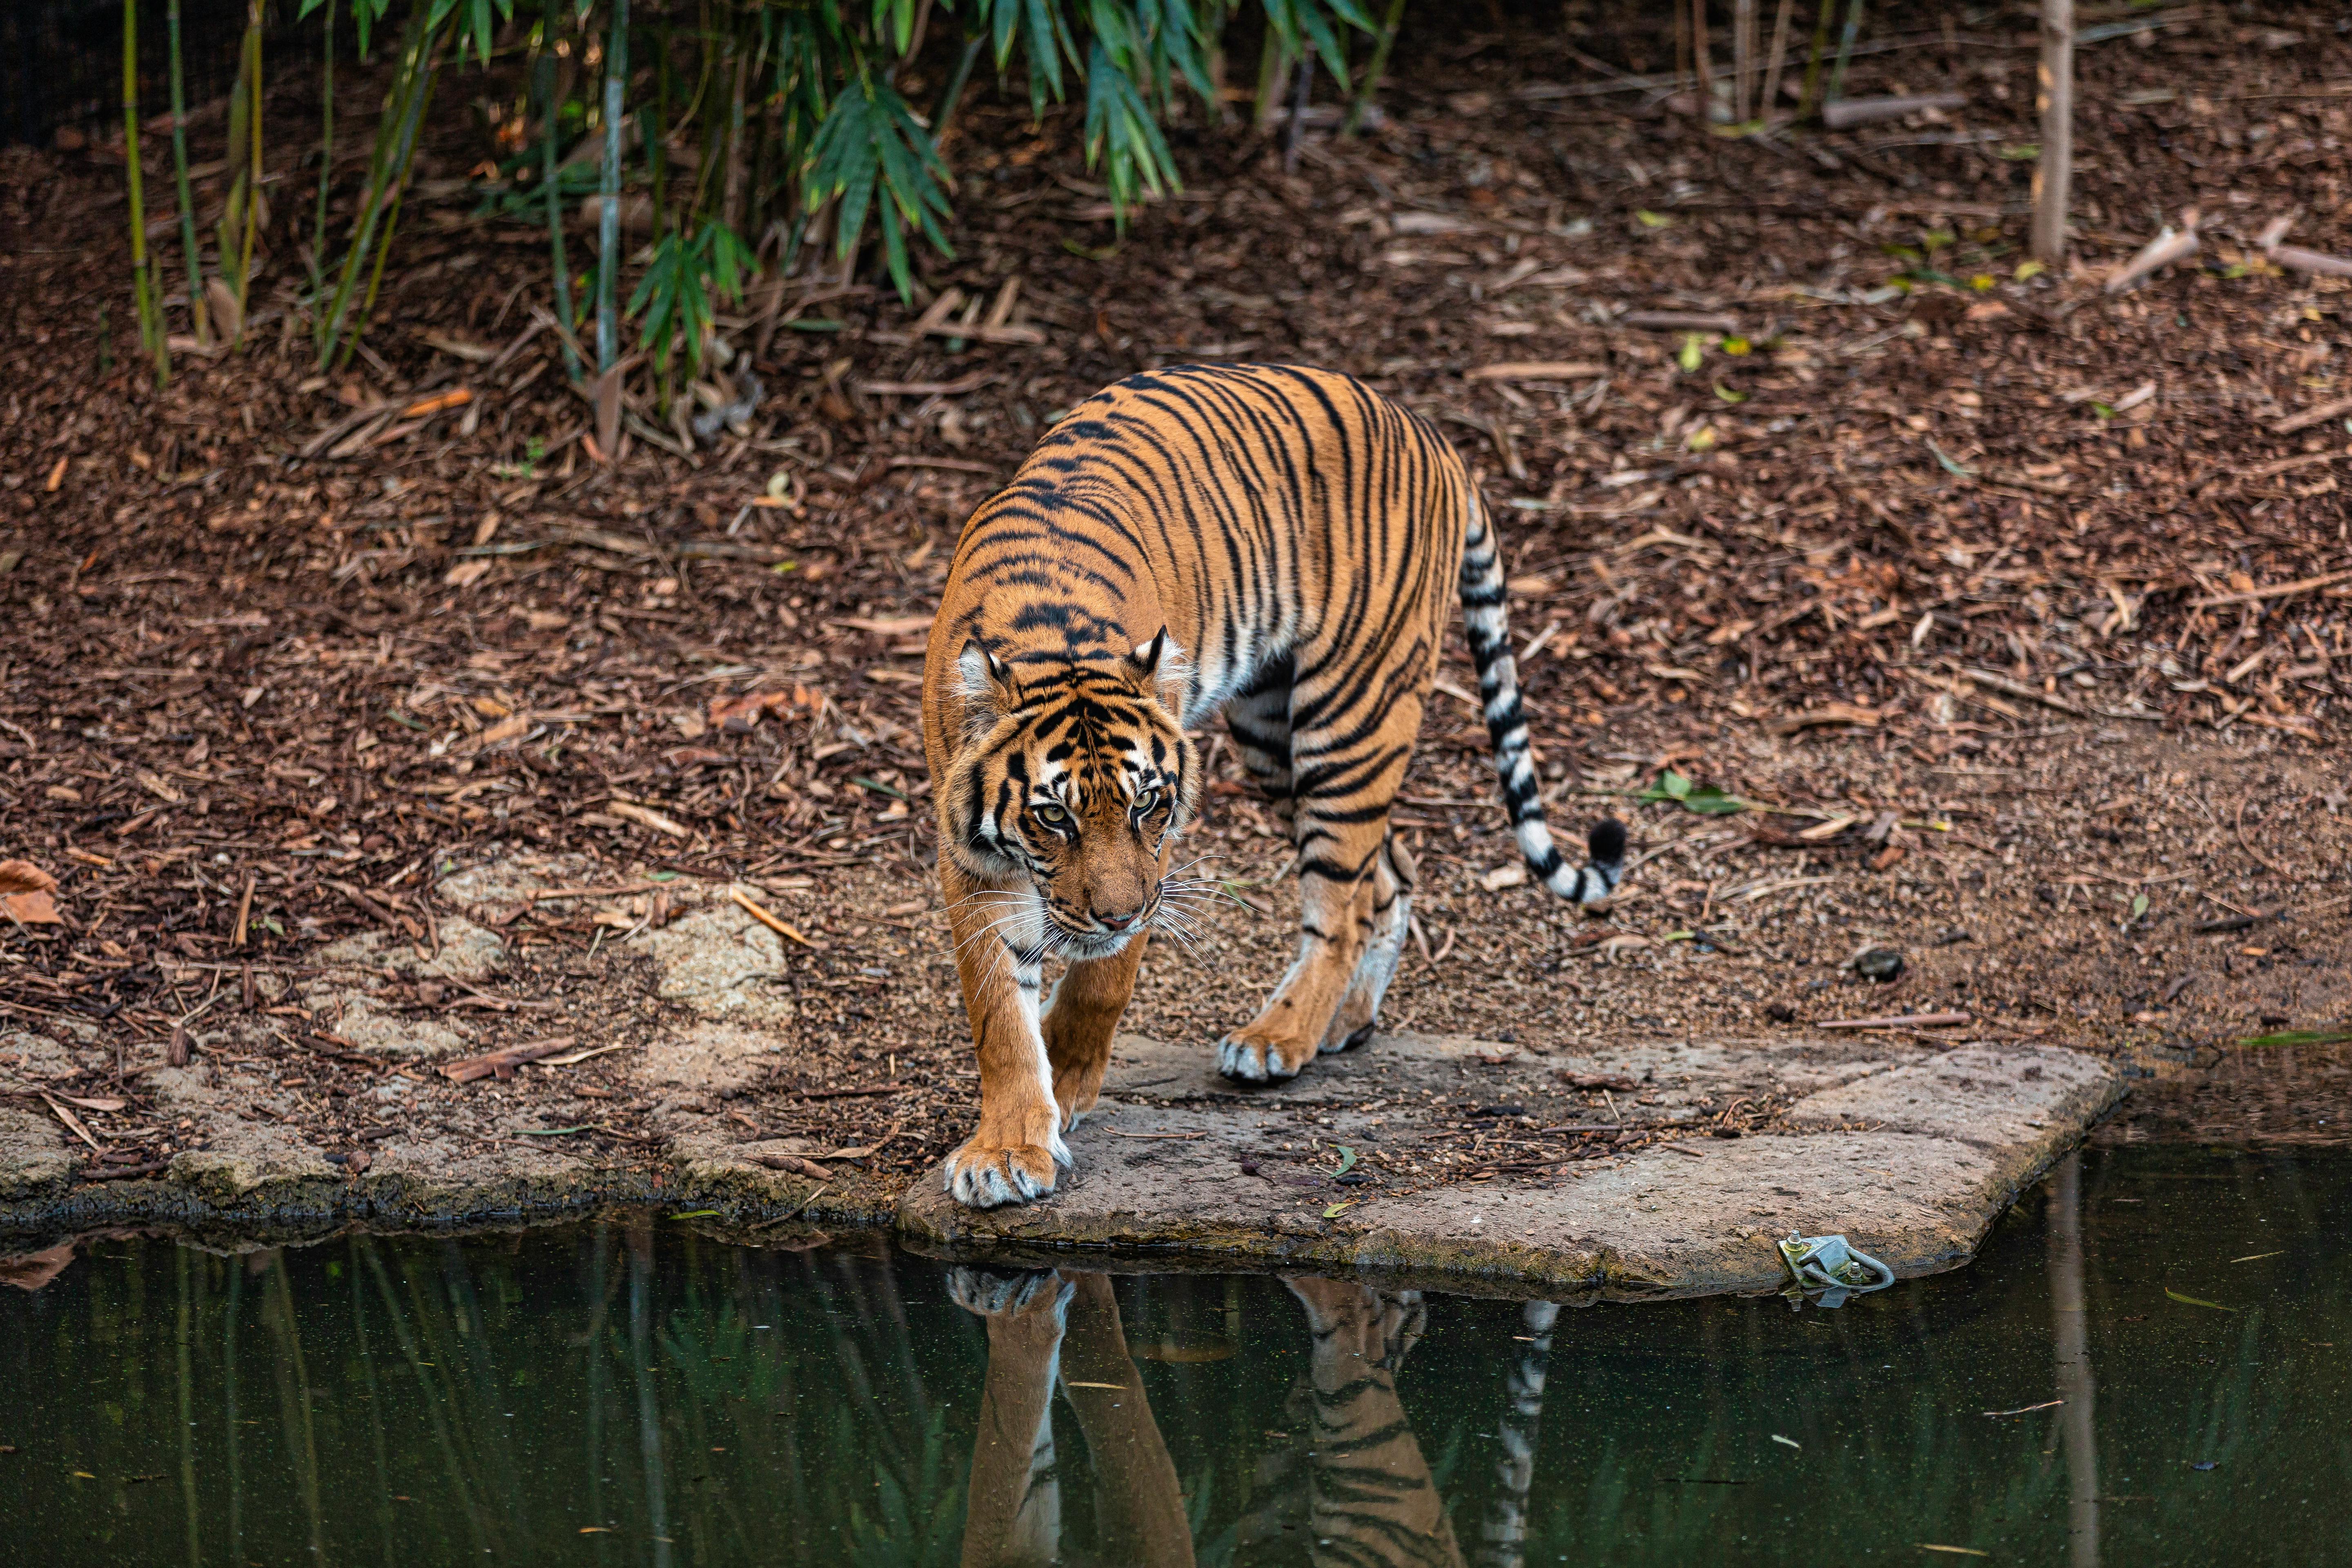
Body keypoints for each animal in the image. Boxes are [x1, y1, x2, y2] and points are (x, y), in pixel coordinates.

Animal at [922, 361, 1628, 1209]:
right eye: (1053, 818)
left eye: (1147, 804)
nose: (1119, 913)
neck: (1051, 640)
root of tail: (1430, 433)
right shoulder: (971, 860)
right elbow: (999, 1016)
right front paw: (1010, 1147)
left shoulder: (1156, 858)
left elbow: (1101, 982)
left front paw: (1065, 1082)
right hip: (1271, 733)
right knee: (1387, 873)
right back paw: (1343, 1022)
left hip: (1352, 716)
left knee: (1341, 903)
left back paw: (1278, 1038)